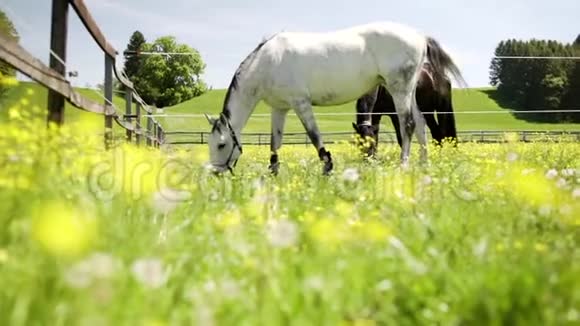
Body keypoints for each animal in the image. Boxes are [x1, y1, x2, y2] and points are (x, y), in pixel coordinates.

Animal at [205, 21, 466, 176]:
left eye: (221, 144)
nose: (216, 172)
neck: (268, 61)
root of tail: (420, 37)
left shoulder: (301, 104)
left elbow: (314, 136)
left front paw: (327, 166)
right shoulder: (279, 109)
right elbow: (274, 143)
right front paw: (274, 172)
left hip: (399, 89)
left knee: (408, 125)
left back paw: (404, 165)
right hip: (408, 91)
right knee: (420, 125)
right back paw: (423, 166)